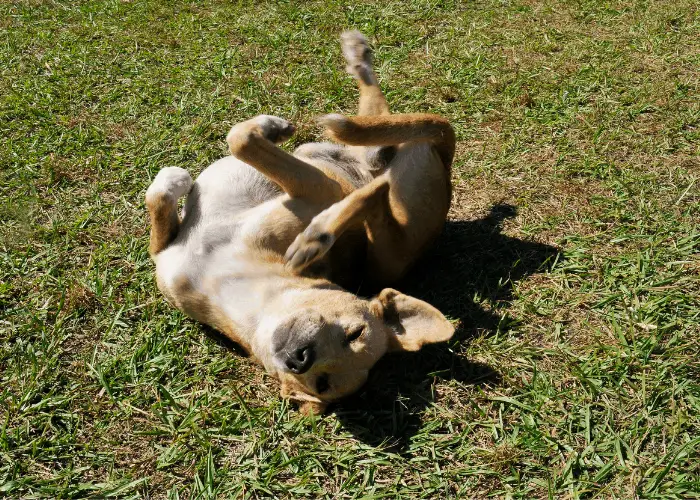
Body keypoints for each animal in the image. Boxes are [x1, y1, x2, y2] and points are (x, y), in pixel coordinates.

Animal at [145, 31, 456, 414]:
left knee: (376, 195)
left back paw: (319, 235)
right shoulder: (167, 259)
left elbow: (240, 139)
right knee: (377, 117)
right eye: (355, 333)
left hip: (392, 243)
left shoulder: (319, 189)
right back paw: (358, 57)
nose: (300, 359)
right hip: (371, 144)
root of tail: (446, 161)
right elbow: (162, 207)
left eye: (322, 384)